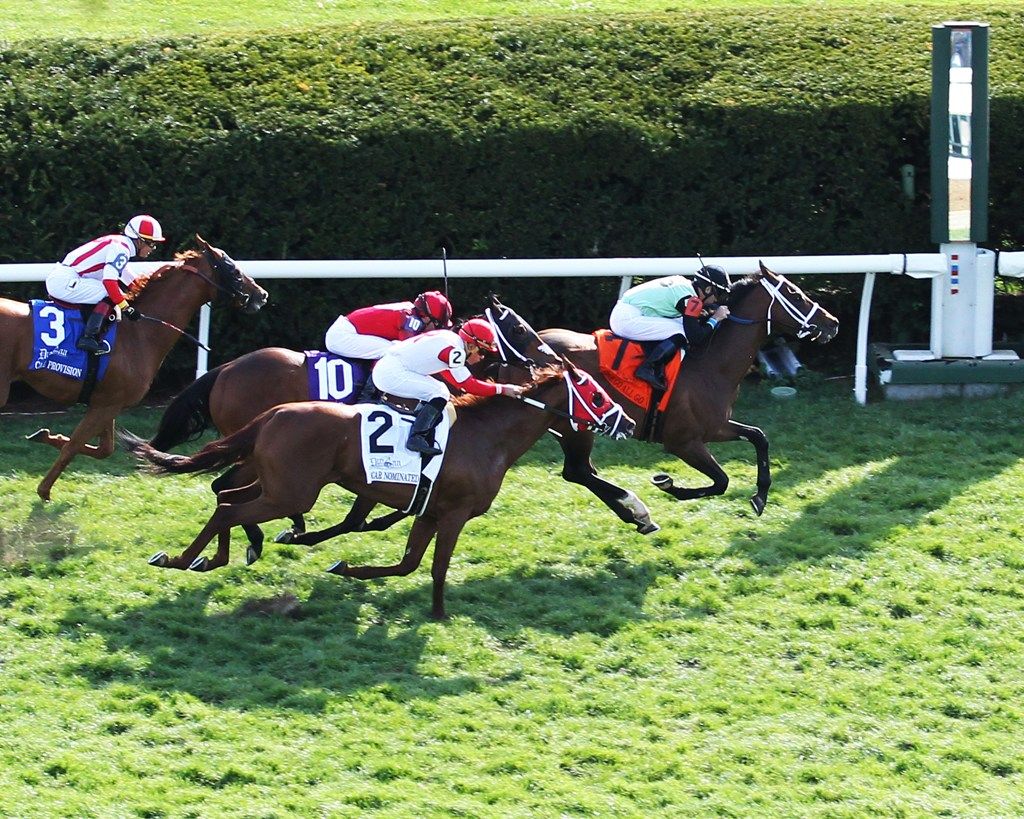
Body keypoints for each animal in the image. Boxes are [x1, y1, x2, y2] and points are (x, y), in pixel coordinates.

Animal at [0, 235, 269, 500]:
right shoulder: (106, 405)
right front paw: (44, 490)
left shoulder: (107, 402)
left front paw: (46, 436)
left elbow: (103, 449)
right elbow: (73, 446)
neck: (139, 333)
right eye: (233, 269)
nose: (261, 294)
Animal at [120, 361, 636, 619]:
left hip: (274, 483)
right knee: (230, 508)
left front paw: (348, 568)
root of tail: (274, 413)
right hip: (291, 492)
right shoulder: (454, 513)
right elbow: (434, 567)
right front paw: (440, 614)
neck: (487, 437)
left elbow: (407, 563)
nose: (628, 422)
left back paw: (213, 557)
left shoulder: (429, 510)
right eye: (595, 394)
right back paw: (184, 558)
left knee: (226, 498)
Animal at [536, 262, 840, 523]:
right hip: (576, 425)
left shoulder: (715, 427)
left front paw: (760, 496)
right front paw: (669, 485)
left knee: (578, 471)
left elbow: (759, 437)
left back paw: (636, 516)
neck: (710, 363)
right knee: (579, 471)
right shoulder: (683, 442)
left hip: (568, 426)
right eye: (794, 294)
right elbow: (721, 481)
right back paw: (636, 510)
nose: (833, 323)